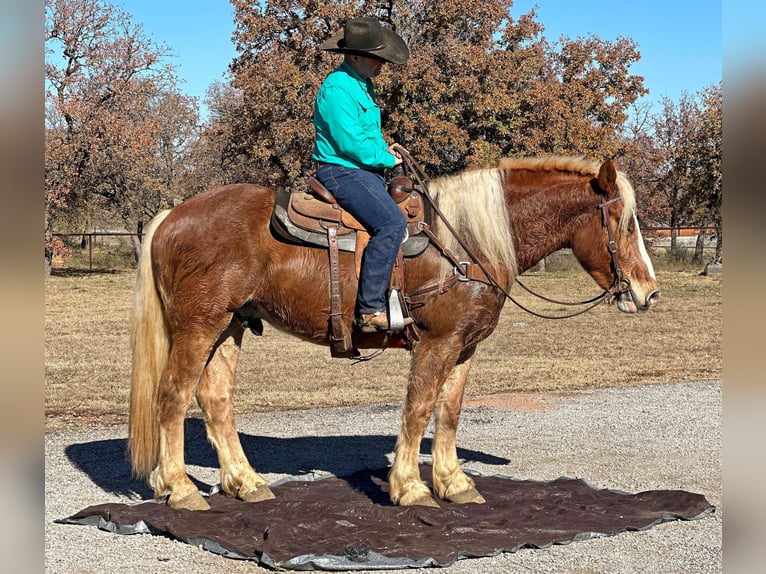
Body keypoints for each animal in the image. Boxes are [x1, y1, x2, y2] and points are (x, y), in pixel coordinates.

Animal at [127, 155, 660, 510]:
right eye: (624, 222)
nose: (649, 293)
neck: (465, 242)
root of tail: (173, 215)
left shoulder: (464, 348)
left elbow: (449, 413)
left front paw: (454, 482)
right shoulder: (438, 343)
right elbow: (418, 409)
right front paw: (411, 486)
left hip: (230, 326)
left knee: (216, 401)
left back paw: (246, 482)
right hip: (199, 327)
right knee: (173, 397)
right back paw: (180, 488)